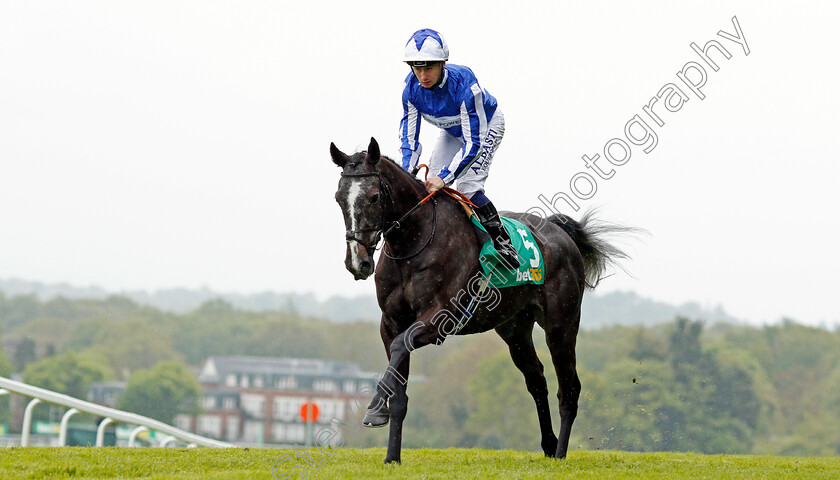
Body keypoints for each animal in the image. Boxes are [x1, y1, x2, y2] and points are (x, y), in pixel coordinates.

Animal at [328, 137, 632, 464]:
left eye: (373, 197)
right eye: (339, 198)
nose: (357, 262)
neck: (413, 243)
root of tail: (560, 232)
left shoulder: (440, 319)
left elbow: (401, 347)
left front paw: (374, 409)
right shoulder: (391, 322)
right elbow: (399, 386)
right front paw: (391, 456)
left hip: (561, 325)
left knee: (569, 388)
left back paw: (561, 452)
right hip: (515, 329)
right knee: (537, 380)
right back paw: (549, 446)